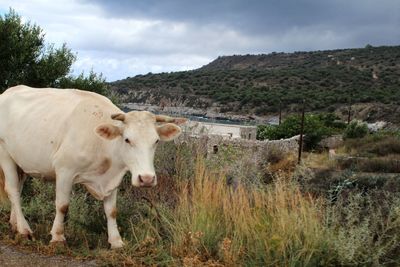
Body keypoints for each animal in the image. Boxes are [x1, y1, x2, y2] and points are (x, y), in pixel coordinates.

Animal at [0, 85, 186, 249]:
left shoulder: (113, 178)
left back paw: (15, 223)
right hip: (5, 154)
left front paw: (116, 241)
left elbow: (111, 210)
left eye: (156, 141)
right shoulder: (65, 170)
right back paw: (24, 229)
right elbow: (62, 205)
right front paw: (58, 237)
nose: (146, 179)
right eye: (127, 139)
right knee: (13, 190)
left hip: (20, 161)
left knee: (18, 188)